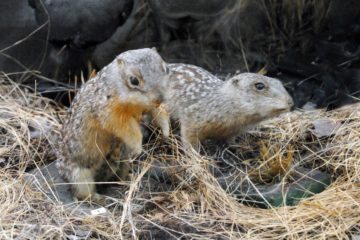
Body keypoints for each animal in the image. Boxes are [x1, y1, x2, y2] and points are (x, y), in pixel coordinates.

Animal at [55, 47, 170, 203]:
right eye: (134, 80)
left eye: (166, 69)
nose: (160, 98)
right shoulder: (110, 112)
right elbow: (127, 129)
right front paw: (138, 147)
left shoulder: (148, 106)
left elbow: (159, 113)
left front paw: (166, 131)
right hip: (79, 175)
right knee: (82, 192)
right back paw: (97, 198)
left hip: (123, 163)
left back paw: (125, 181)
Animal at [160, 62, 292, 151]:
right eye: (259, 86)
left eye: (279, 82)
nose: (290, 102)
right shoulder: (191, 120)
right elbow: (189, 140)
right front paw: (196, 158)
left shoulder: (234, 130)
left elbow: (230, 139)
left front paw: (236, 145)